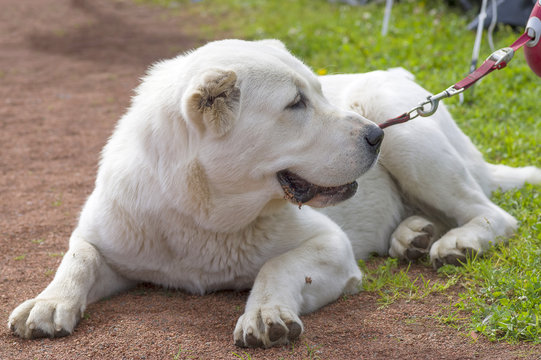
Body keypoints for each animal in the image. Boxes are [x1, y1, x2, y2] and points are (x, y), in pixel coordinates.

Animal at [8, 40, 540, 348]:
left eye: (319, 93)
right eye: (296, 104)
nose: (375, 136)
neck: (202, 214)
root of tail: (402, 76)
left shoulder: (331, 246)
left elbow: (277, 265)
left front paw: (264, 311)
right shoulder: (104, 239)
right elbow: (77, 257)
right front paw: (48, 303)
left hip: (409, 134)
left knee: (492, 214)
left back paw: (457, 241)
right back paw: (412, 235)